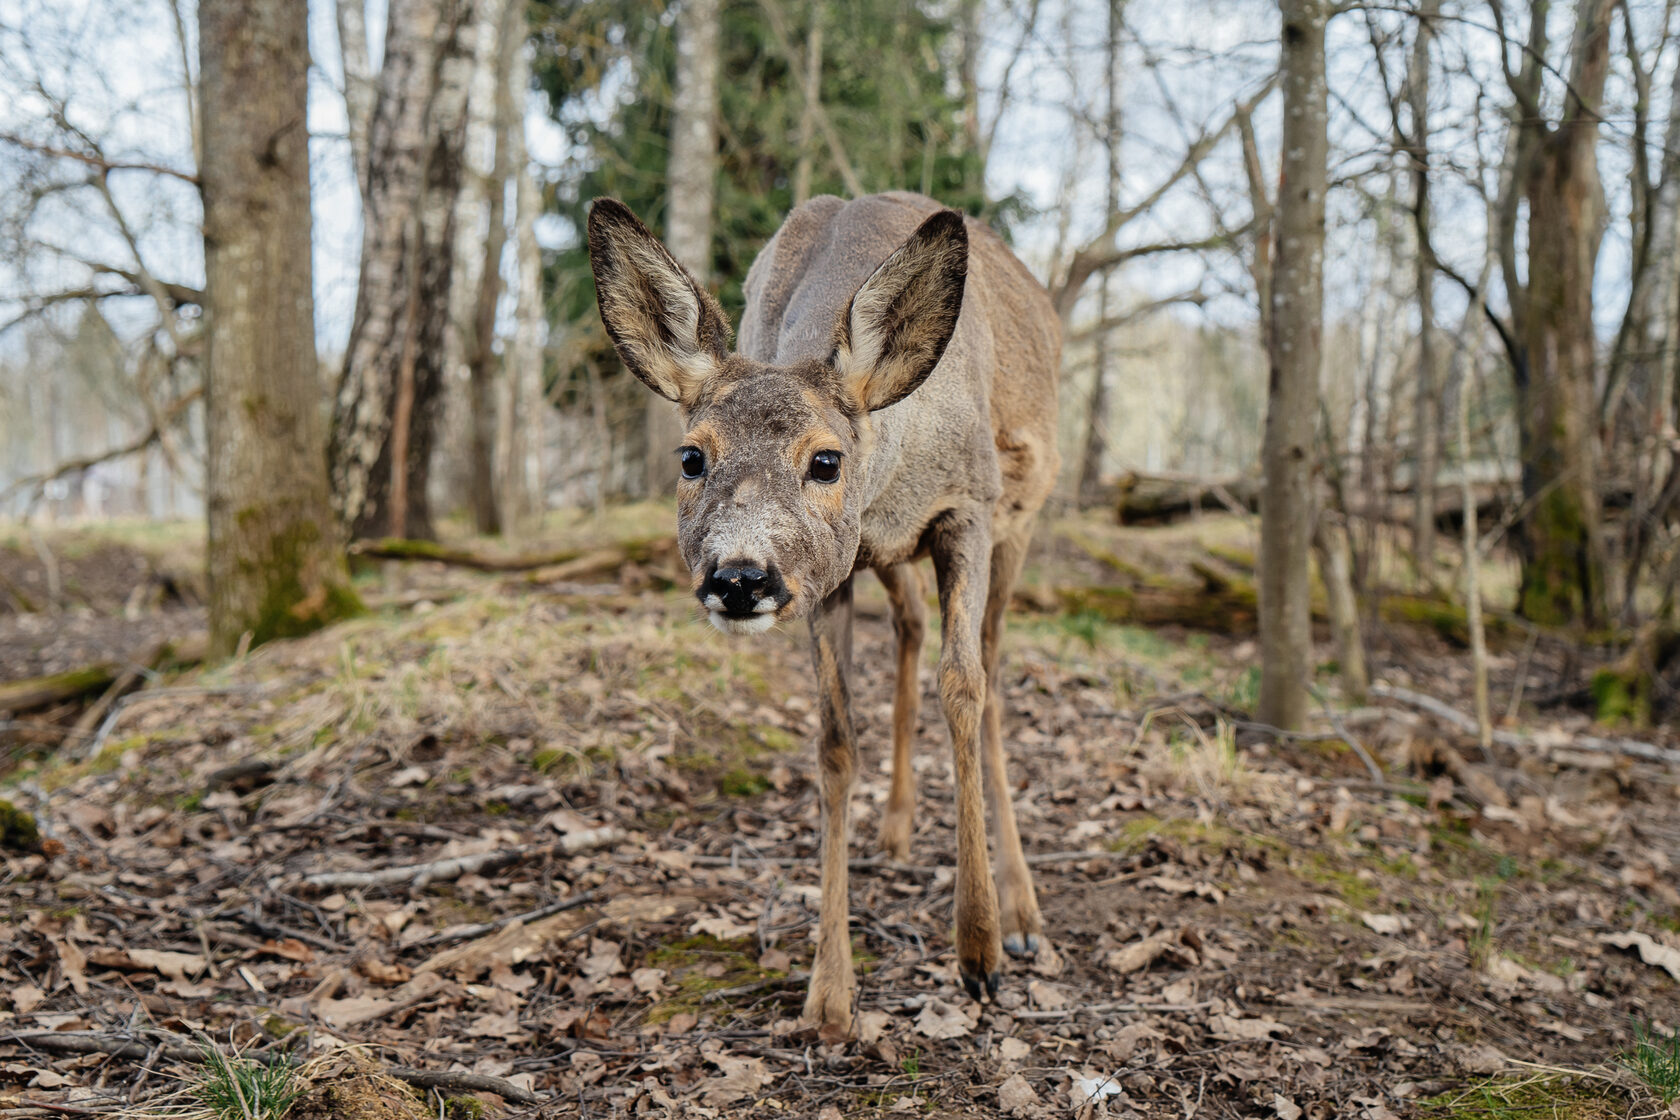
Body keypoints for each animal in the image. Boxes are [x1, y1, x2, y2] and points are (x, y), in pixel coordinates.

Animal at [591, 188, 1055, 1041]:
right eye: (691, 457)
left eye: (826, 460)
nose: (740, 578)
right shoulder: (828, 574)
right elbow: (836, 741)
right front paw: (830, 995)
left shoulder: (968, 508)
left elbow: (965, 689)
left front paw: (977, 949)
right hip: (885, 565)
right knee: (910, 630)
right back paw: (898, 827)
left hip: (1023, 517)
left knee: (994, 673)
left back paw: (1022, 913)